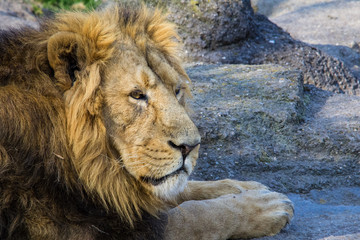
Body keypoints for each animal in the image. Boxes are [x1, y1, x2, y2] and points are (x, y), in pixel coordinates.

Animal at [0, 4, 292, 240]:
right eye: (137, 95)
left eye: (177, 90)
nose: (191, 146)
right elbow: (196, 216)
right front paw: (265, 207)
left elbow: (179, 190)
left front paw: (246, 187)